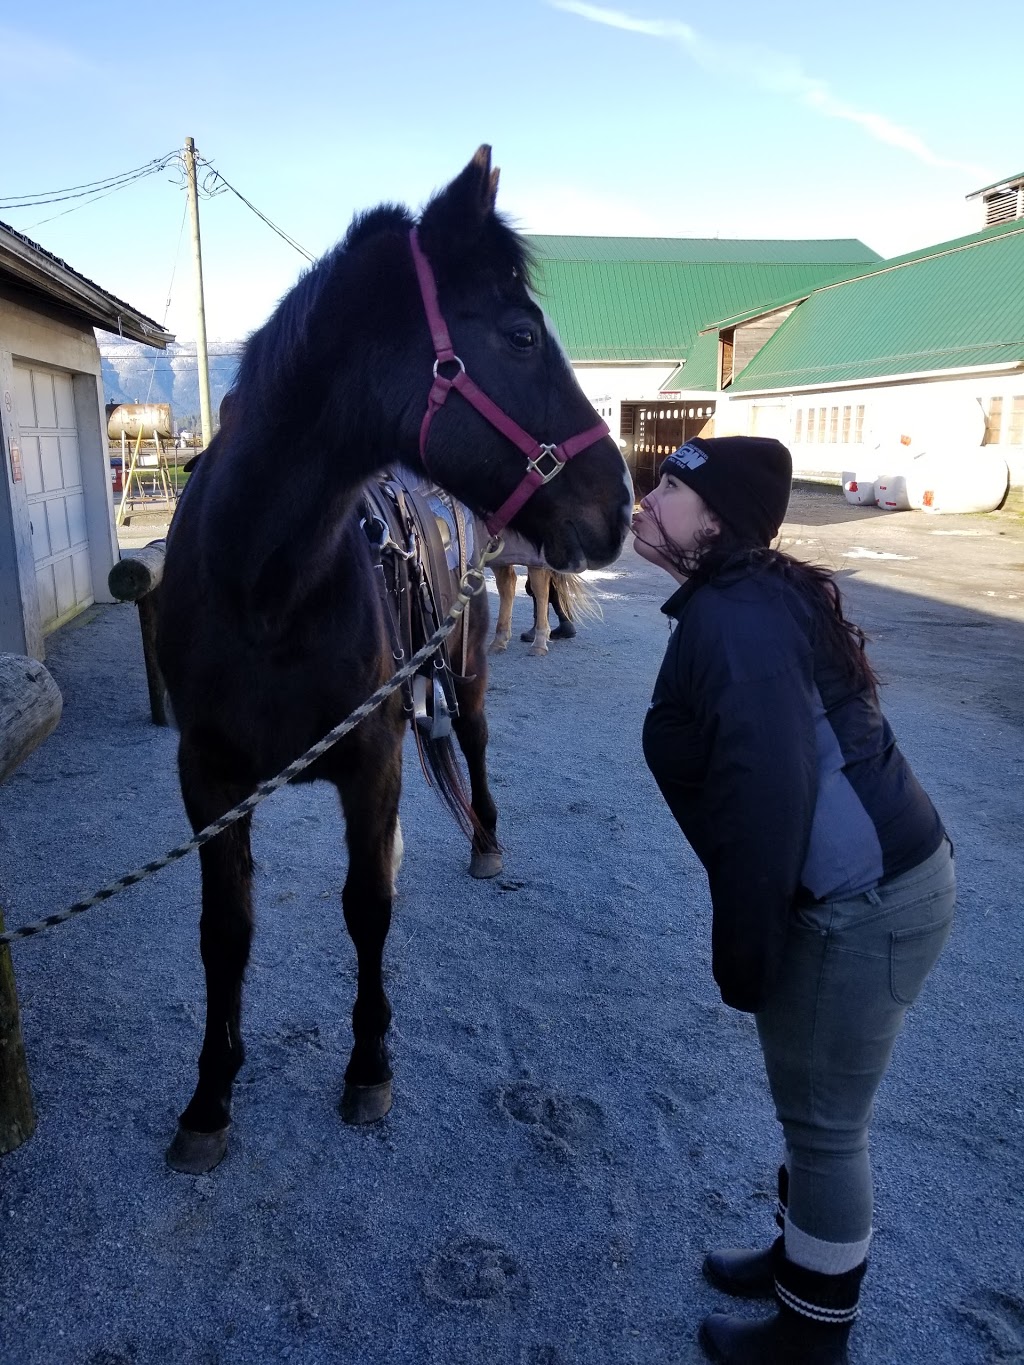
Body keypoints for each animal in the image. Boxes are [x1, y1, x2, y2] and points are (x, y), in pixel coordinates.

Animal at [155, 149, 633, 1173]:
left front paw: (368, 1063)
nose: (618, 504)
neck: (261, 586)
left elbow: (365, 906)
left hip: (467, 673)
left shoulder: (368, 757)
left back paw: (485, 840)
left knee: (476, 751)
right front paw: (210, 1095)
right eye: (522, 335)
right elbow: (225, 930)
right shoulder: (208, 778)